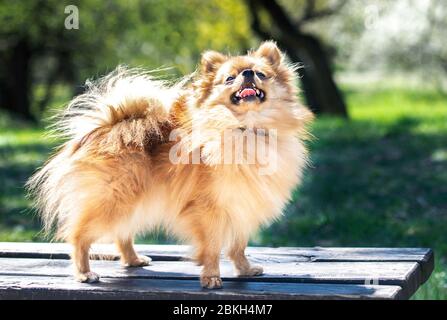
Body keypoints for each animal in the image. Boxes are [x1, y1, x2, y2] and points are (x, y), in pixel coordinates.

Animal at [27, 41, 316, 288]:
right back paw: (84, 273)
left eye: (261, 74)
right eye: (229, 79)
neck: (247, 129)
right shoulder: (210, 209)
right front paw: (211, 277)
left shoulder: (242, 203)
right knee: (79, 236)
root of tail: (108, 126)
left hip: (135, 200)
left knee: (122, 233)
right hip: (114, 198)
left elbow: (238, 245)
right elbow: (212, 247)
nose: (247, 73)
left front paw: (244, 269)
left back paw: (133, 260)